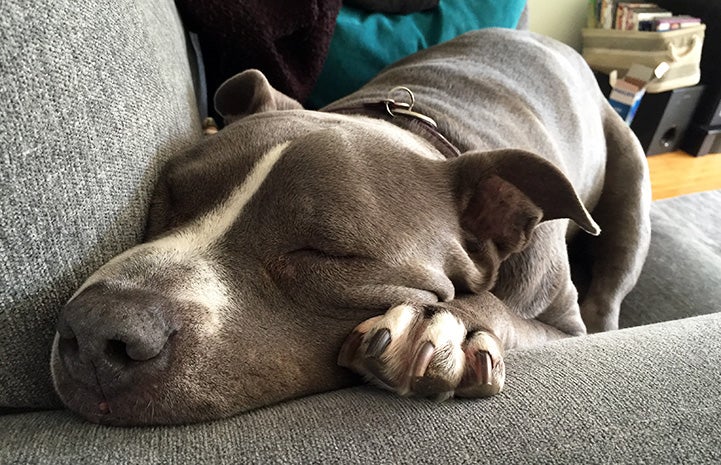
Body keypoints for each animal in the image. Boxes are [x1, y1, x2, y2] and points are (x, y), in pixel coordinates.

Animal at [49, 29, 648, 426]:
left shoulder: (565, 328)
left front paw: (439, 328)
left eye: (325, 254)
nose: (97, 330)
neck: (421, 131)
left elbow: (503, 312)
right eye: (169, 198)